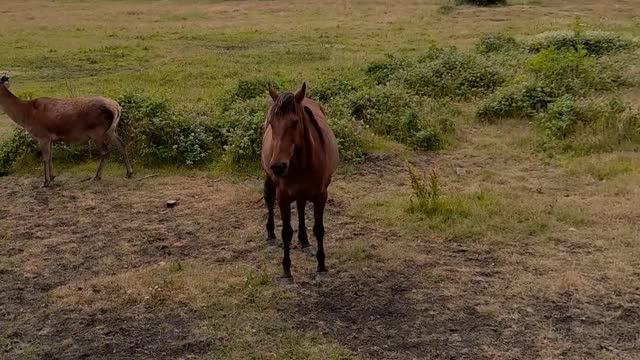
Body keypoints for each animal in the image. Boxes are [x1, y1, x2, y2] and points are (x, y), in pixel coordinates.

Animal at [0, 74, 132, 187]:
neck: (26, 116)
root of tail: (117, 107)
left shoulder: (43, 135)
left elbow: (45, 158)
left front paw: (46, 182)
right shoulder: (50, 138)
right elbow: (51, 156)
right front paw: (53, 176)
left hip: (97, 132)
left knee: (105, 152)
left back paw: (97, 176)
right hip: (111, 130)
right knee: (122, 145)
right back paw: (129, 173)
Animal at [262, 82, 340, 284]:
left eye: (295, 122)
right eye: (271, 123)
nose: (278, 166)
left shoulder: (321, 196)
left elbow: (319, 229)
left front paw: (321, 266)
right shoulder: (282, 197)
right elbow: (286, 232)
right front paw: (286, 271)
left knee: (301, 206)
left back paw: (304, 241)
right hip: (269, 178)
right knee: (269, 199)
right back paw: (270, 234)